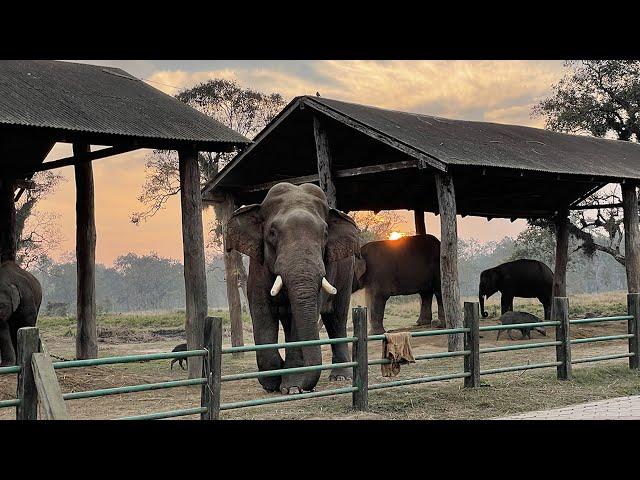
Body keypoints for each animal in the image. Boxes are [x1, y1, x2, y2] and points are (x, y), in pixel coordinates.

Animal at [228, 183, 362, 394]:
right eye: (272, 232)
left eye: (325, 234)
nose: (308, 387)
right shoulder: (258, 268)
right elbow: (261, 312)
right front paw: (271, 384)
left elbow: (302, 319)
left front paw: (292, 387)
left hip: (346, 272)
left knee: (336, 318)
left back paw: (340, 377)